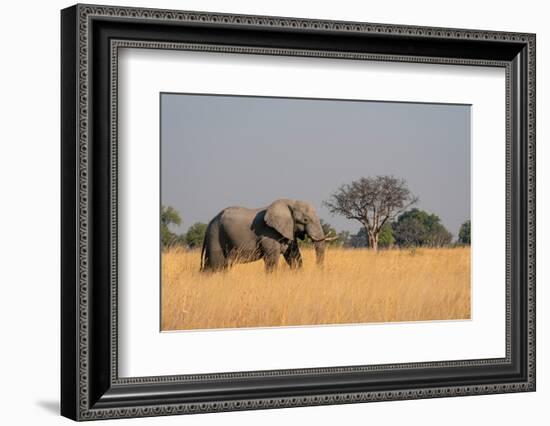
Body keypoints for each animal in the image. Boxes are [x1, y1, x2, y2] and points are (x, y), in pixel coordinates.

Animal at [199, 199, 336, 272]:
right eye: (305, 220)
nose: (318, 270)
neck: (290, 202)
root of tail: (210, 223)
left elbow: (294, 256)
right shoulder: (269, 233)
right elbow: (271, 259)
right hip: (215, 235)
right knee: (217, 265)